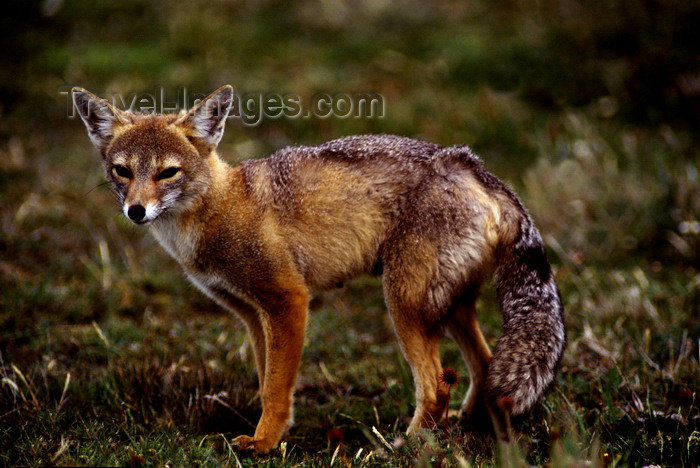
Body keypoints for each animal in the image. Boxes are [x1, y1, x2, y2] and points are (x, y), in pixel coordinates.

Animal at [71, 84, 568, 454]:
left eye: (167, 173)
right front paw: (272, 432)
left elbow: (276, 387)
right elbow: (267, 380)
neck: (221, 209)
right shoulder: (252, 315)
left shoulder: (287, 300)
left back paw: (406, 446)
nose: (136, 211)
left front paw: (263, 443)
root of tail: (473, 165)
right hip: (448, 309)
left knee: (438, 385)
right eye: (122, 171)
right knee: (485, 369)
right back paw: (472, 428)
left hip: (405, 305)